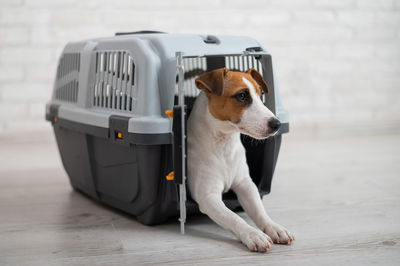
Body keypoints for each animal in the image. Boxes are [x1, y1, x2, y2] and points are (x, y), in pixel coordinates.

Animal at [187, 67, 294, 252]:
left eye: (260, 94)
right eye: (242, 95)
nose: (277, 124)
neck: (224, 143)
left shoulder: (245, 184)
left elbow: (259, 210)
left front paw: (274, 227)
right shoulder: (208, 196)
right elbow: (233, 218)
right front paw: (253, 234)